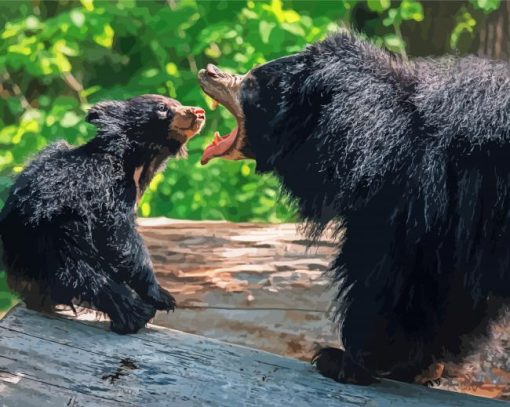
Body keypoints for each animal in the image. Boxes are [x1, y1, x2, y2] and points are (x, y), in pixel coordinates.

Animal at [2, 95, 205, 334]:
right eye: (163, 108)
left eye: (177, 103)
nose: (199, 112)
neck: (134, 161)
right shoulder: (112, 187)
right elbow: (119, 235)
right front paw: (162, 296)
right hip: (57, 240)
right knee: (87, 276)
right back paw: (136, 315)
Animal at [197, 32, 510, 386]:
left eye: (253, 83)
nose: (209, 71)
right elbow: (452, 299)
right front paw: (418, 367)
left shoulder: (414, 204)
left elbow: (390, 282)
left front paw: (343, 360)